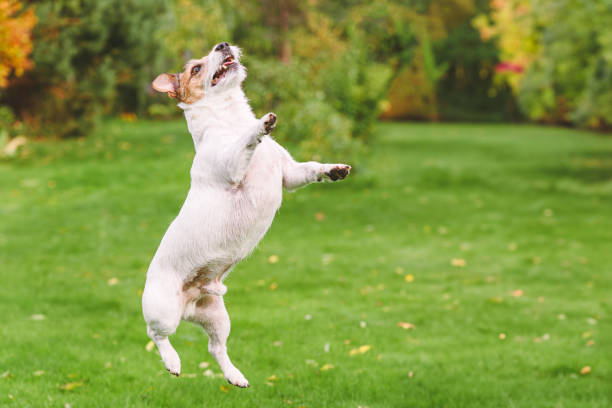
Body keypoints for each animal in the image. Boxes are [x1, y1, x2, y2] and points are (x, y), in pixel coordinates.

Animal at [143, 42, 352, 388]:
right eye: (196, 69)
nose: (223, 45)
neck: (230, 119)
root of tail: (189, 305)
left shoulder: (289, 175)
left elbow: (310, 169)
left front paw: (332, 169)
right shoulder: (232, 167)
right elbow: (243, 143)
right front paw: (259, 126)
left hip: (217, 317)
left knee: (215, 348)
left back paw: (235, 376)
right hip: (163, 311)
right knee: (156, 335)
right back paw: (172, 361)